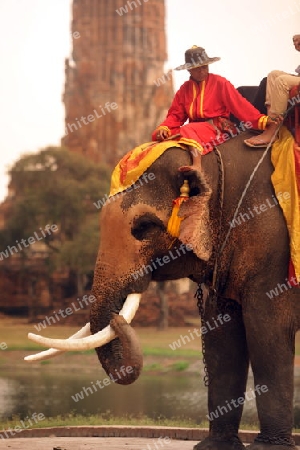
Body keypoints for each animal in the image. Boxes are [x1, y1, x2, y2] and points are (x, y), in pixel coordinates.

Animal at [25, 132, 300, 450]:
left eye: (144, 226)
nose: (117, 320)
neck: (214, 160)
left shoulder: (274, 246)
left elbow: (266, 329)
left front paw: (269, 448)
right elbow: (221, 335)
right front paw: (214, 447)